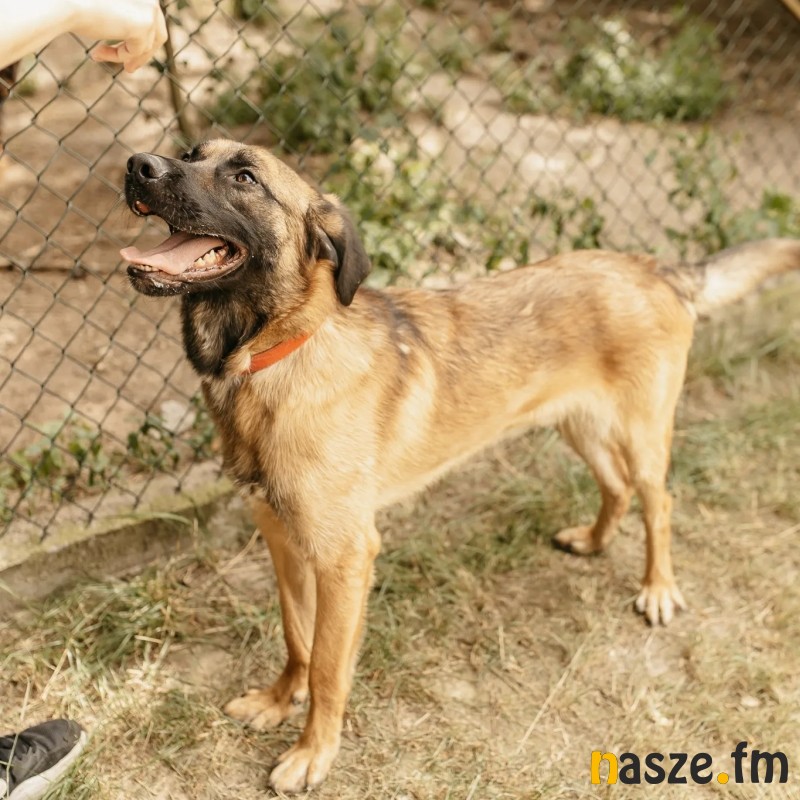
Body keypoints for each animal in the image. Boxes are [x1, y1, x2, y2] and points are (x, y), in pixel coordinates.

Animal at [120, 139, 800, 793]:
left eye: (245, 177)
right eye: (190, 154)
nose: (138, 165)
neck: (276, 355)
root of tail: (651, 264)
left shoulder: (344, 558)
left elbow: (330, 666)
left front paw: (314, 752)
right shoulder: (281, 538)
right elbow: (297, 639)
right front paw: (277, 700)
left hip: (641, 432)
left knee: (658, 500)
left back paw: (658, 589)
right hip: (578, 424)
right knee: (616, 486)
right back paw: (594, 539)